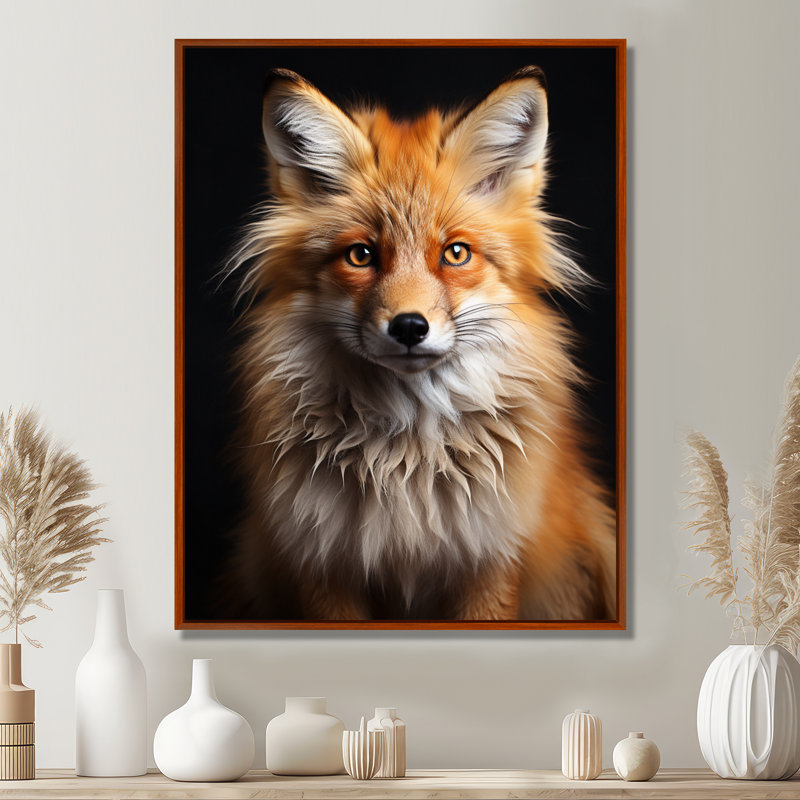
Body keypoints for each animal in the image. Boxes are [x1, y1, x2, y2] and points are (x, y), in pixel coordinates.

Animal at [224, 66, 617, 621]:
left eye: (455, 253)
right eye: (361, 255)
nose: (409, 327)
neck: (406, 462)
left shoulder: (491, 560)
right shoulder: (322, 563)